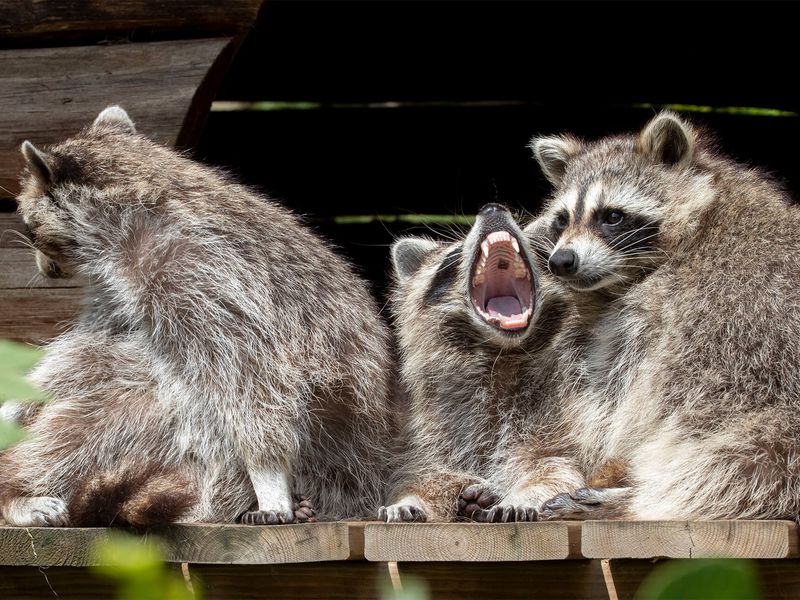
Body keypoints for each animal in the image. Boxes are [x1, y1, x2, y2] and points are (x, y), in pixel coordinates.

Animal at [1, 106, 396, 524]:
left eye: (29, 226)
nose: (44, 269)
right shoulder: (125, 286)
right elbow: (85, 349)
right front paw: (19, 398)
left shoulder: (203, 274)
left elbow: (253, 381)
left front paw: (269, 478)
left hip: (212, 460)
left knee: (104, 417)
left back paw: (14, 487)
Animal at [378, 204, 584, 524]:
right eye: (452, 255)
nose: (492, 208)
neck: (500, 352)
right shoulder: (429, 433)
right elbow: (421, 476)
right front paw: (409, 499)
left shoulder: (557, 425)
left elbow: (555, 472)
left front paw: (524, 496)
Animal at [528, 112, 800, 520]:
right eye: (562, 219)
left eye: (612, 216)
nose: (562, 261)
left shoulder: (698, 308)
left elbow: (644, 392)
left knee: (745, 463)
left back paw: (637, 503)